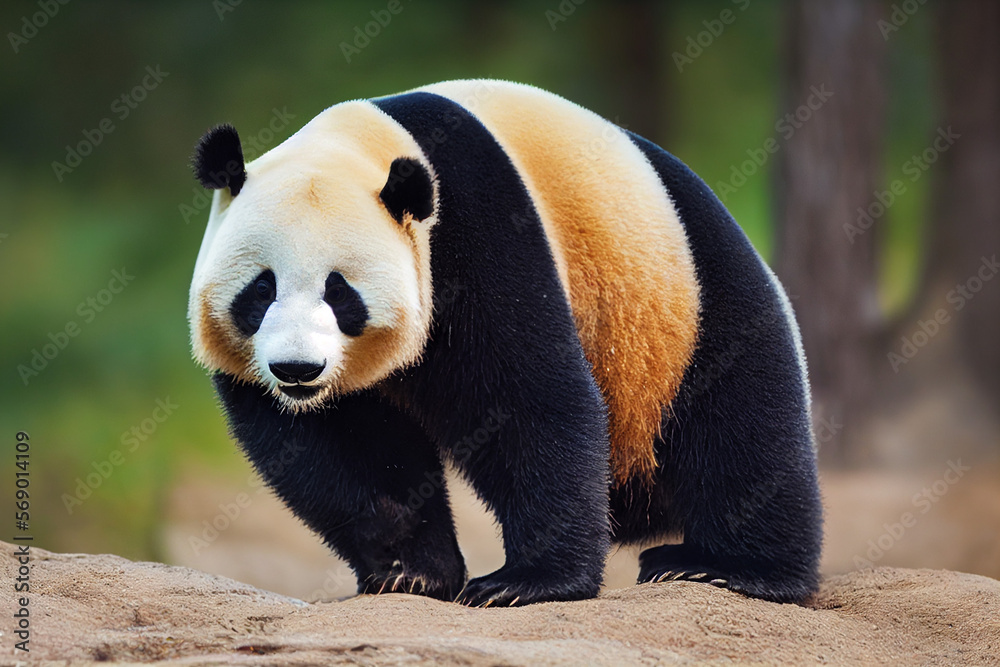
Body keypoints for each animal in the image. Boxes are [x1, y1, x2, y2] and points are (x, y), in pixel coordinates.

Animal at [188, 79, 822, 607]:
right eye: (261, 289)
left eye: (339, 292)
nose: (297, 369)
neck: (359, 144)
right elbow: (344, 447)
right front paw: (411, 572)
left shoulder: (477, 226)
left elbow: (528, 396)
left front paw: (526, 583)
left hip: (687, 293)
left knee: (742, 423)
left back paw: (727, 568)